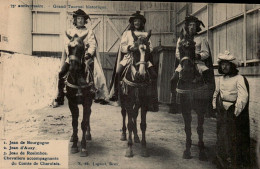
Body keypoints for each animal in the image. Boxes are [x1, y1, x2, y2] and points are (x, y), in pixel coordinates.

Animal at [177, 28, 211, 161]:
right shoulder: (185, 108)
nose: (186, 71)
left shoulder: (201, 109)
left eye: (193, 46)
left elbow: (200, 129)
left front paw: (202, 152)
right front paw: (187, 150)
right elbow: (187, 128)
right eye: (180, 47)